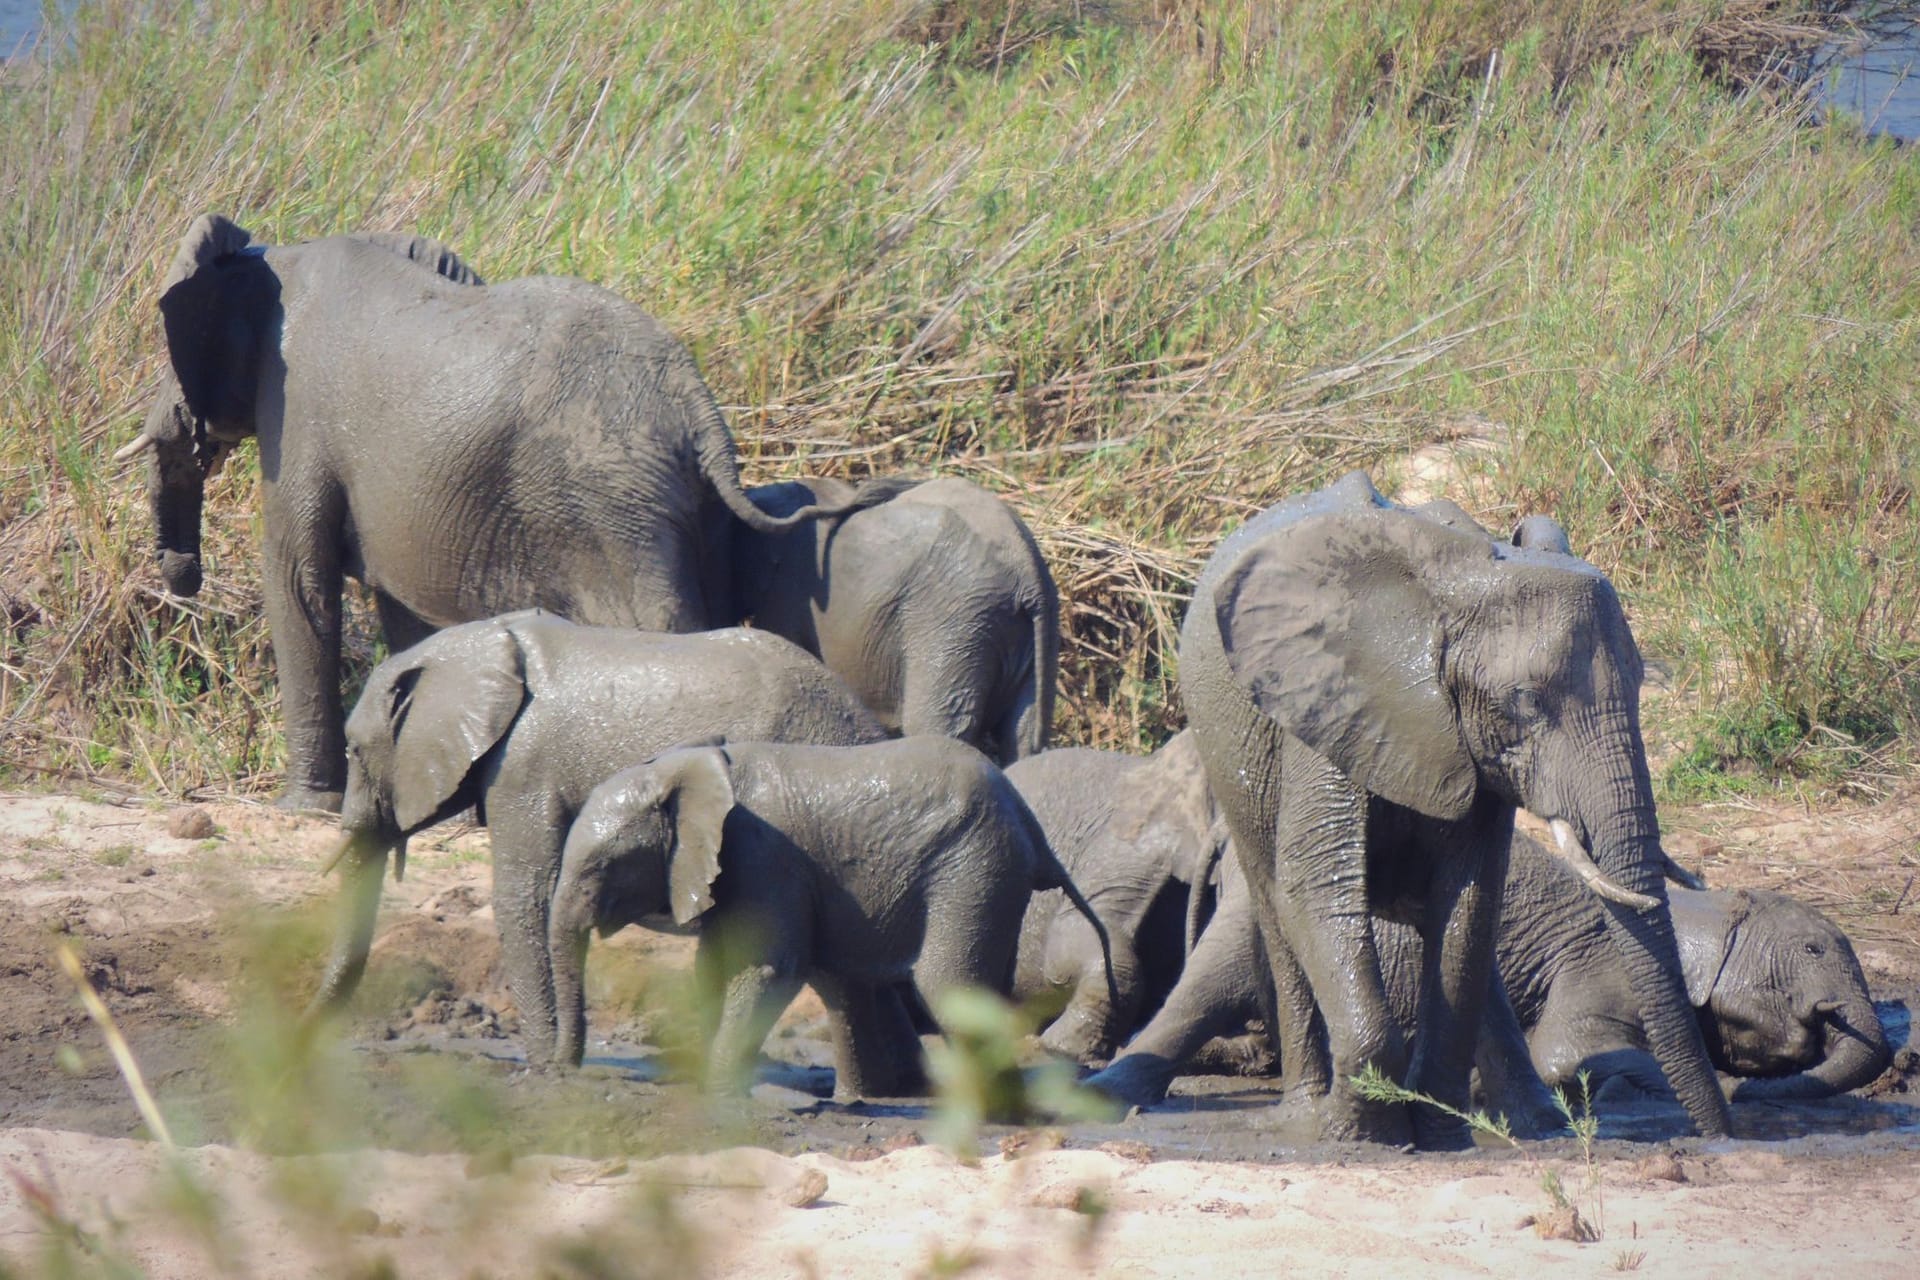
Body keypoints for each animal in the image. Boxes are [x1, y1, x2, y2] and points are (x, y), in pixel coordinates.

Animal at [123, 210, 887, 809]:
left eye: (171, 346)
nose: (182, 577)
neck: (277, 253)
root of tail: (699, 408)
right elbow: (403, 611)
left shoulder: (299, 414)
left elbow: (299, 583)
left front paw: (304, 808)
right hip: (691, 512)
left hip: (616, 508)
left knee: (661, 625)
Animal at [311, 610, 887, 1059]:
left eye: (355, 751)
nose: (304, 1028)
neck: (480, 646)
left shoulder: (523, 765)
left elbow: (524, 896)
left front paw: (544, 1066)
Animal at [545, 740, 1113, 1105]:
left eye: (601, 866)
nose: (558, 1071)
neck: (684, 768)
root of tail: (1029, 822)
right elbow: (713, 967)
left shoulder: (764, 856)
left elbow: (770, 970)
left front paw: (720, 1093)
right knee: (849, 980)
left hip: (976, 865)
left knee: (947, 984)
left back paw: (1007, 1117)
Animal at [733, 477, 1067, 759]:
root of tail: (1028, 572)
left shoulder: (788, 593)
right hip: (1034, 631)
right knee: (1022, 737)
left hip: (957, 623)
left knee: (937, 726)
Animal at [1121, 468, 1743, 1143]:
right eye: (1524, 701)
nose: (1721, 1135)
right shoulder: (1325, 699)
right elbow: (1317, 884)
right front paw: (1359, 1132)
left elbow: (1467, 899)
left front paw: (1437, 1130)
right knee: (1274, 905)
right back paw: (1304, 1113)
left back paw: (1530, 1121)